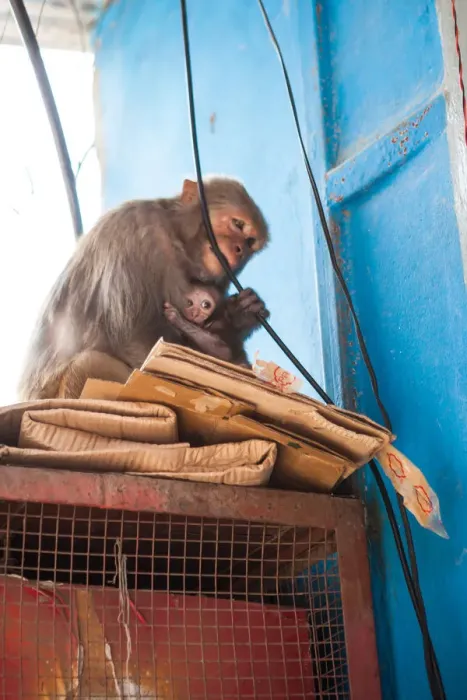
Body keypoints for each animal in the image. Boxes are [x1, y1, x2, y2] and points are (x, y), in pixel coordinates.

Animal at [18, 177, 269, 400]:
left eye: (250, 242)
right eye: (237, 224)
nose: (239, 250)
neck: (177, 239)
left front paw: (243, 312)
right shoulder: (135, 230)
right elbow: (133, 334)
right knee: (87, 363)